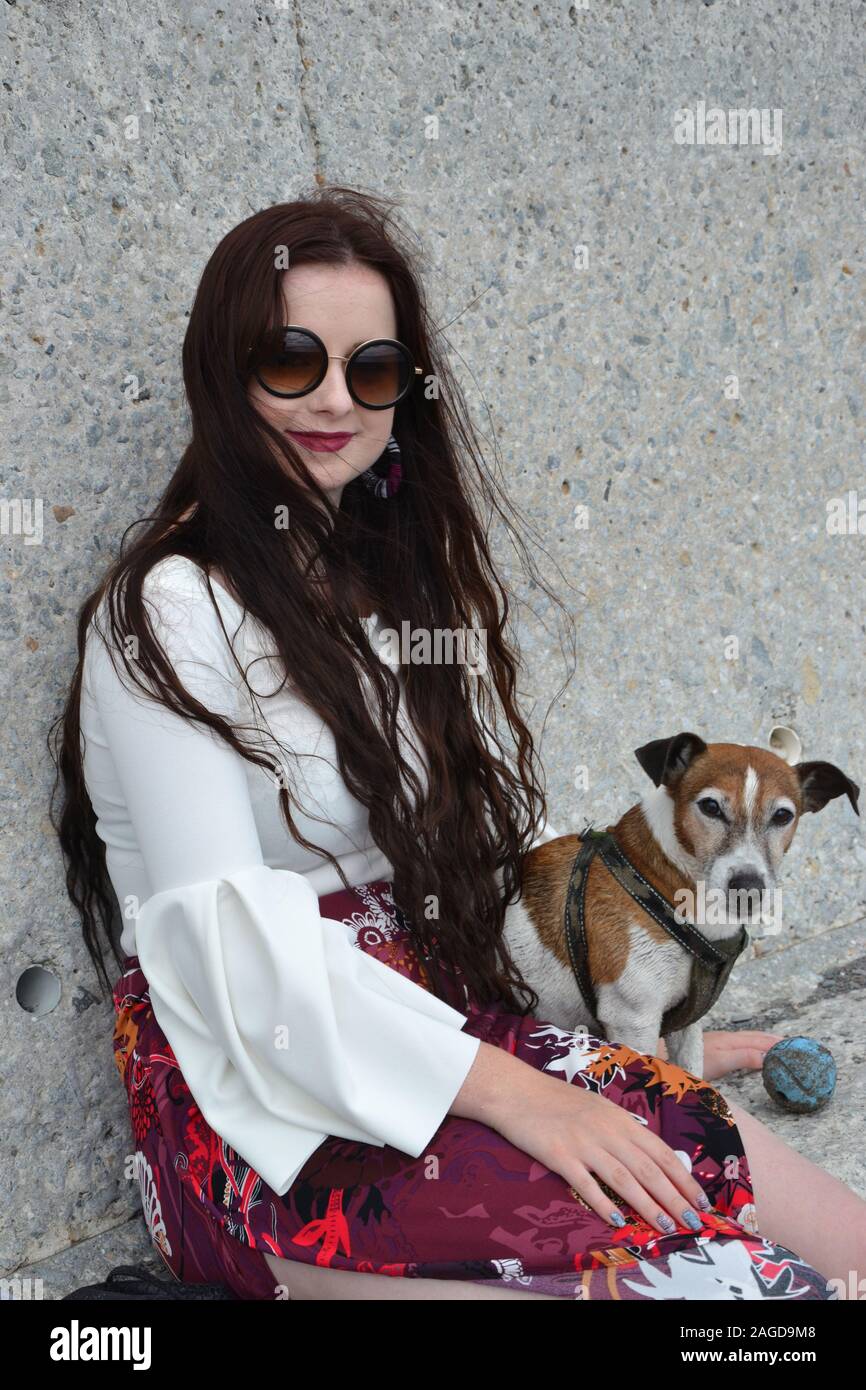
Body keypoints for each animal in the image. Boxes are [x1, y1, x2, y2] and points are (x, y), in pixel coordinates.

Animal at [500, 733, 861, 1078]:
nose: (748, 887)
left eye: (783, 815)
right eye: (711, 807)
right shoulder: (633, 1020)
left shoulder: (687, 1022)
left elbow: (691, 1070)